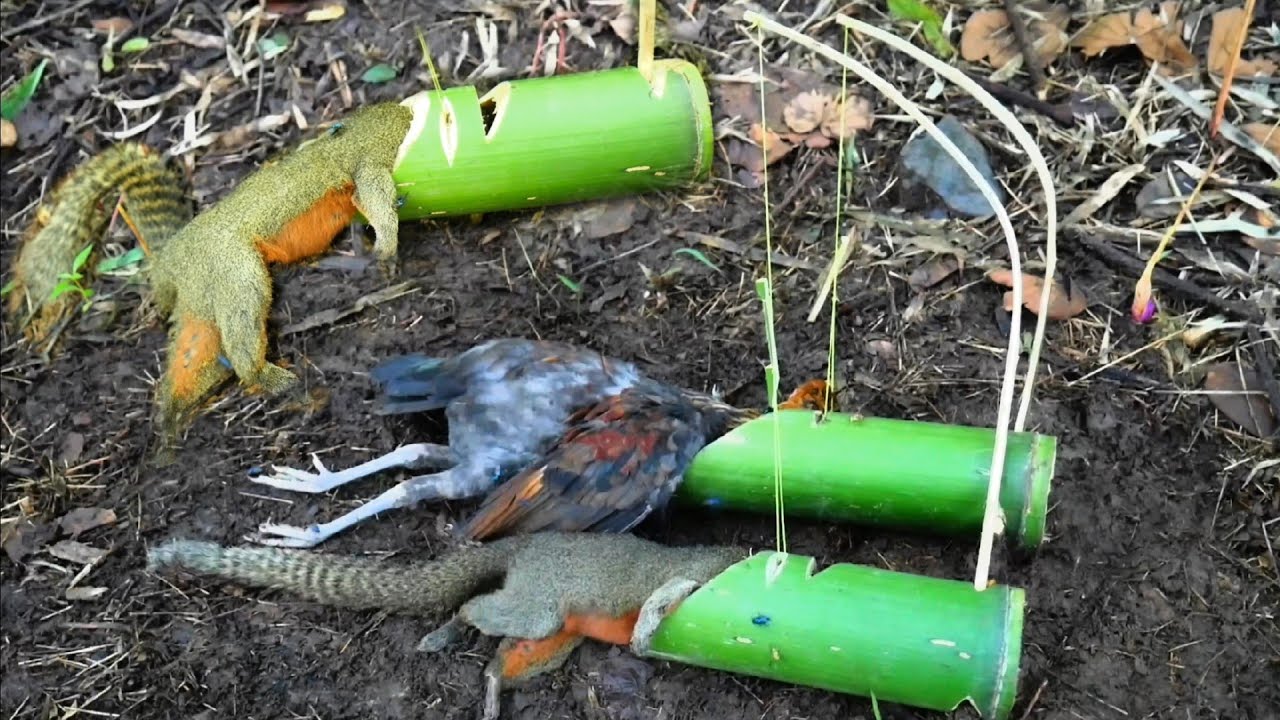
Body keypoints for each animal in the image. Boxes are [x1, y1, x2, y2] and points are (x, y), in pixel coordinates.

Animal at [5, 101, 415, 447]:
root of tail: (171, 259)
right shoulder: (374, 154)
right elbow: (373, 194)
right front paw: (386, 248)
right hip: (234, 271)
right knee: (241, 332)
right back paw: (268, 378)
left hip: (204, 295)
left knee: (194, 353)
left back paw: (170, 423)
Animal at [148, 531, 745, 719]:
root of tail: (527, 544)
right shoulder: (702, 574)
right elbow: (664, 595)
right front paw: (646, 633)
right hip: (542, 601)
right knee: (476, 607)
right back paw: (451, 631)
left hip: (554, 631)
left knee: (506, 656)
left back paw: (492, 689)